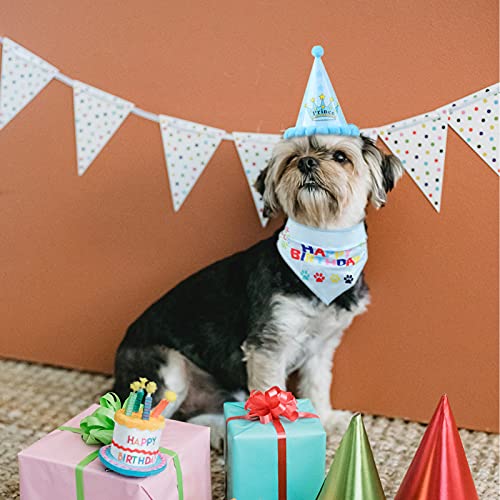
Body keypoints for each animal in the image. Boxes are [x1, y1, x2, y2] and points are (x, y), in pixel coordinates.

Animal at [112, 133, 402, 450]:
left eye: (340, 157)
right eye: (291, 158)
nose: (306, 162)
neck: (321, 255)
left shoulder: (322, 345)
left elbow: (317, 384)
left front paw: (325, 419)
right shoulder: (268, 345)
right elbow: (269, 390)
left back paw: (218, 432)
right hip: (168, 367)